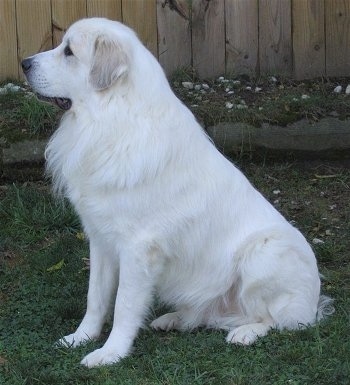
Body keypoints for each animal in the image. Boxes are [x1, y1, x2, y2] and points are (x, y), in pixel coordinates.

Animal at [21, 18, 330, 366]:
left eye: (69, 52)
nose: (24, 63)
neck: (111, 119)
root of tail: (313, 303)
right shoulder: (100, 238)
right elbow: (95, 297)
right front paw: (80, 337)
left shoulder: (138, 248)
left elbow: (124, 304)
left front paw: (110, 354)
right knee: (210, 315)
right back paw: (173, 320)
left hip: (265, 253)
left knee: (279, 320)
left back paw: (245, 333)